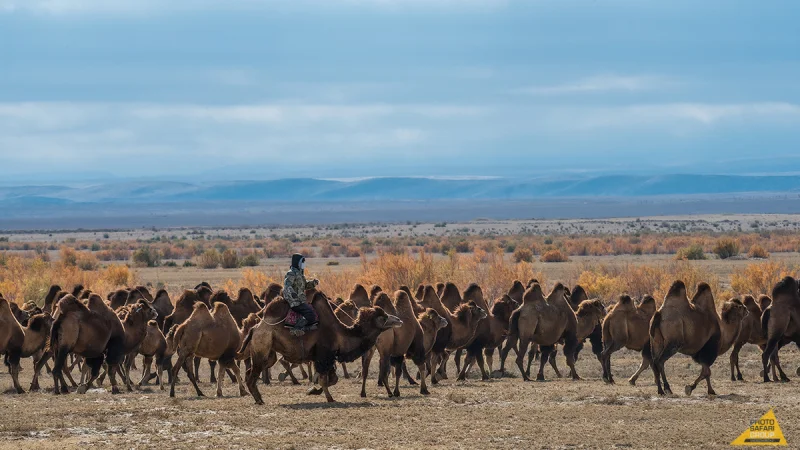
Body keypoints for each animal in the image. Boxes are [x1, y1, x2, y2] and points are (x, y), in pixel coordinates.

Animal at [236, 292, 400, 404]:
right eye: (384, 317)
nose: (398, 319)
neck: (340, 333)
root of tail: (255, 328)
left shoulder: (326, 357)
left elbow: (332, 379)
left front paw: (313, 391)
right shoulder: (323, 356)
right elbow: (324, 379)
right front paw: (328, 397)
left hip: (269, 352)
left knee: (254, 370)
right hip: (262, 344)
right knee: (253, 374)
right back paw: (259, 399)